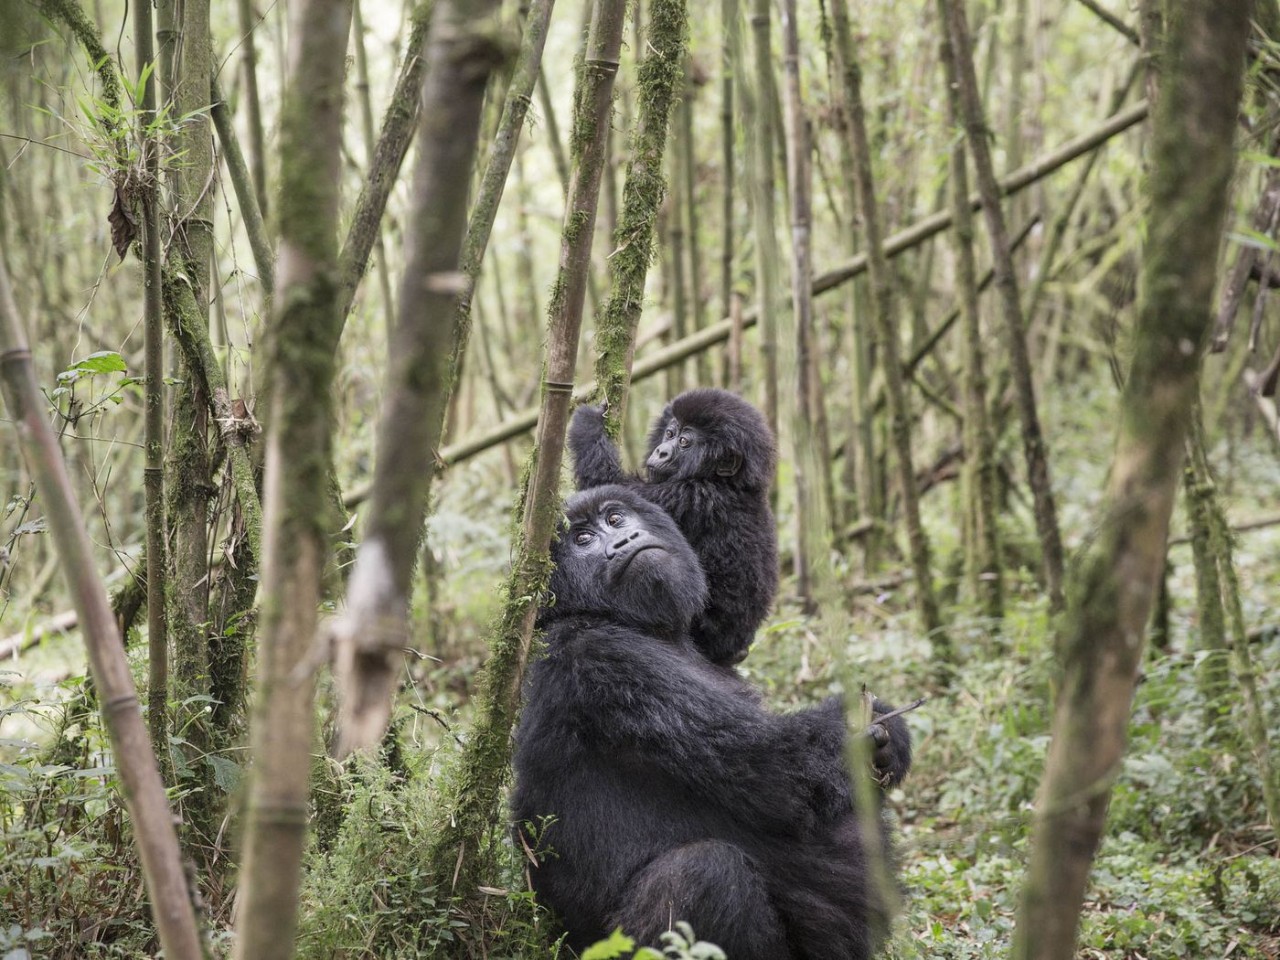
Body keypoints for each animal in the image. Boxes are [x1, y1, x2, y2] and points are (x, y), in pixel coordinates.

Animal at [509, 488, 911, 960]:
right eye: (583, 539)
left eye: (615, 518)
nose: (624, 541)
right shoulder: (603, 661)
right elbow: (782, 774)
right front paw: (865, 726)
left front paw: (889, 740)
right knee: (706, 871)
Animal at [573, 386, 778, 665]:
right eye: (670, 433)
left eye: (684, 441)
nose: (661, 451)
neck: (729, 483)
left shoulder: (686, 497)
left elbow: (607, 485)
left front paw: (588, 424)